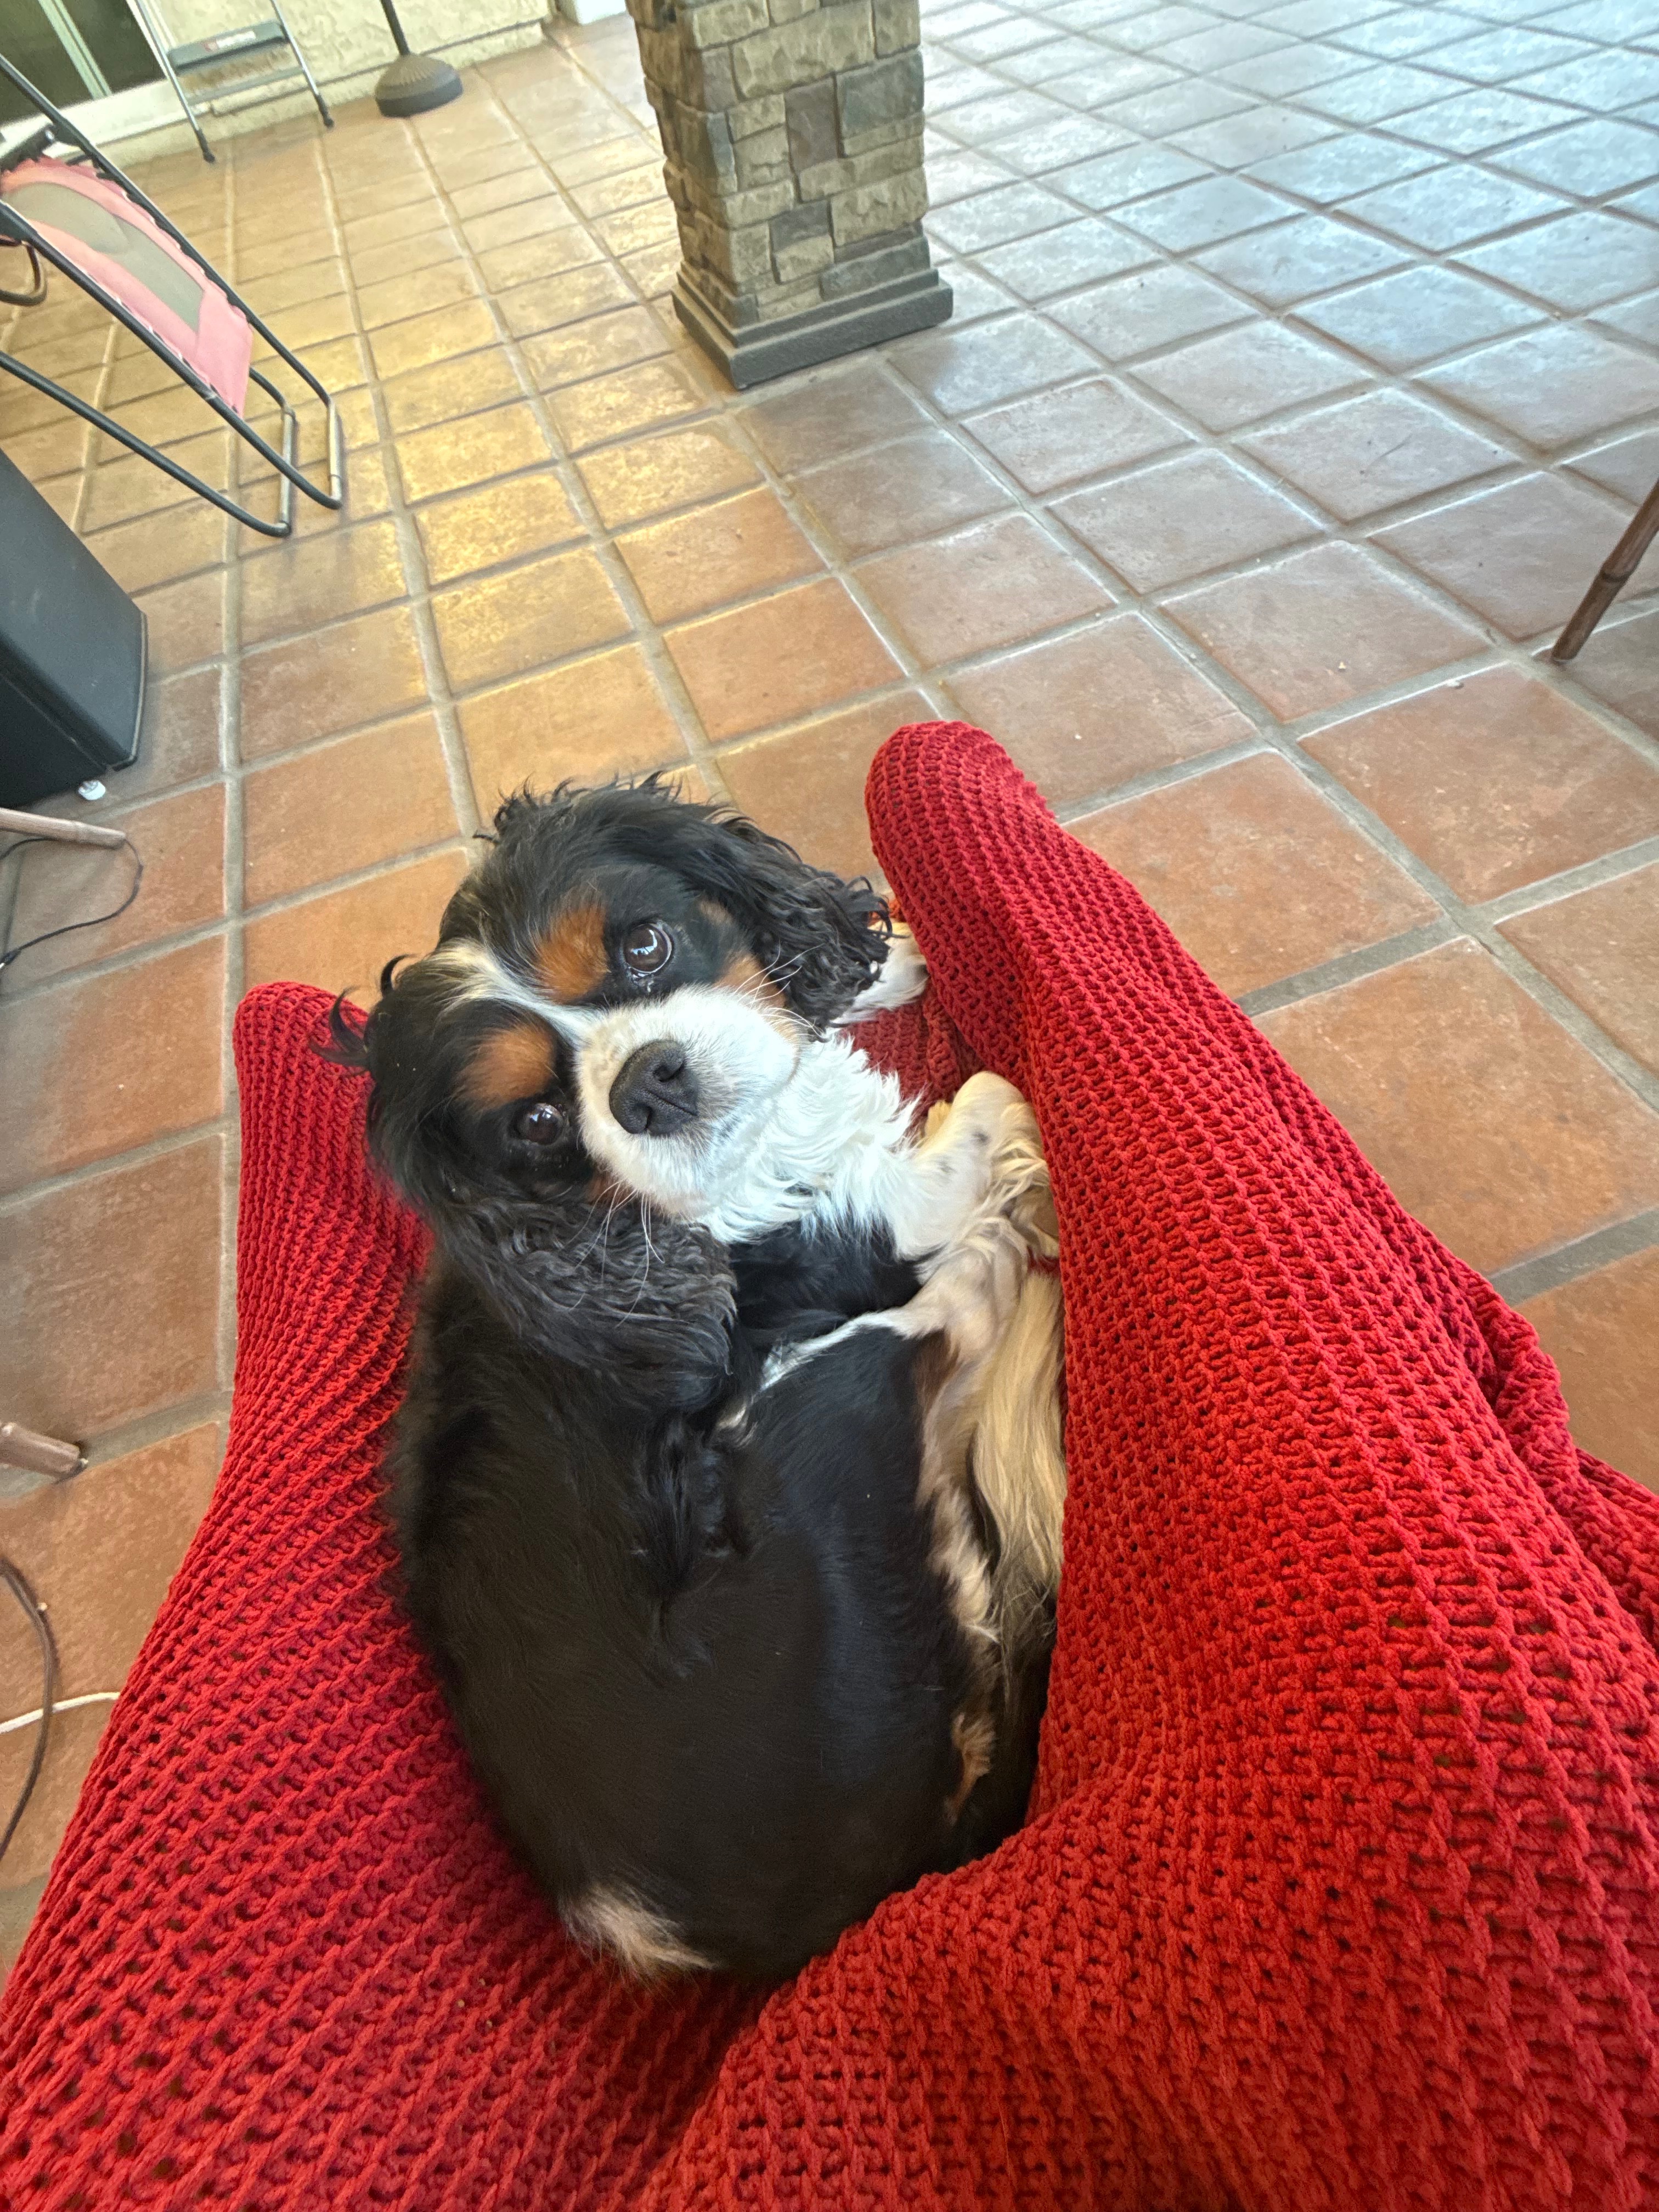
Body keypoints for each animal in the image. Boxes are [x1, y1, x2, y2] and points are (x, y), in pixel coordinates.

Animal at [330, 778, 1066, 1981]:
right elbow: (990, 1097)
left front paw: (881, 957)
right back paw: (996, 1265)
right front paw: (1026, 1151)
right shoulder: (845, 1240)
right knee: (940, 1327)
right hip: (806, 1419)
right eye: (536, 1122)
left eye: (645, 945)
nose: (648, 1080)